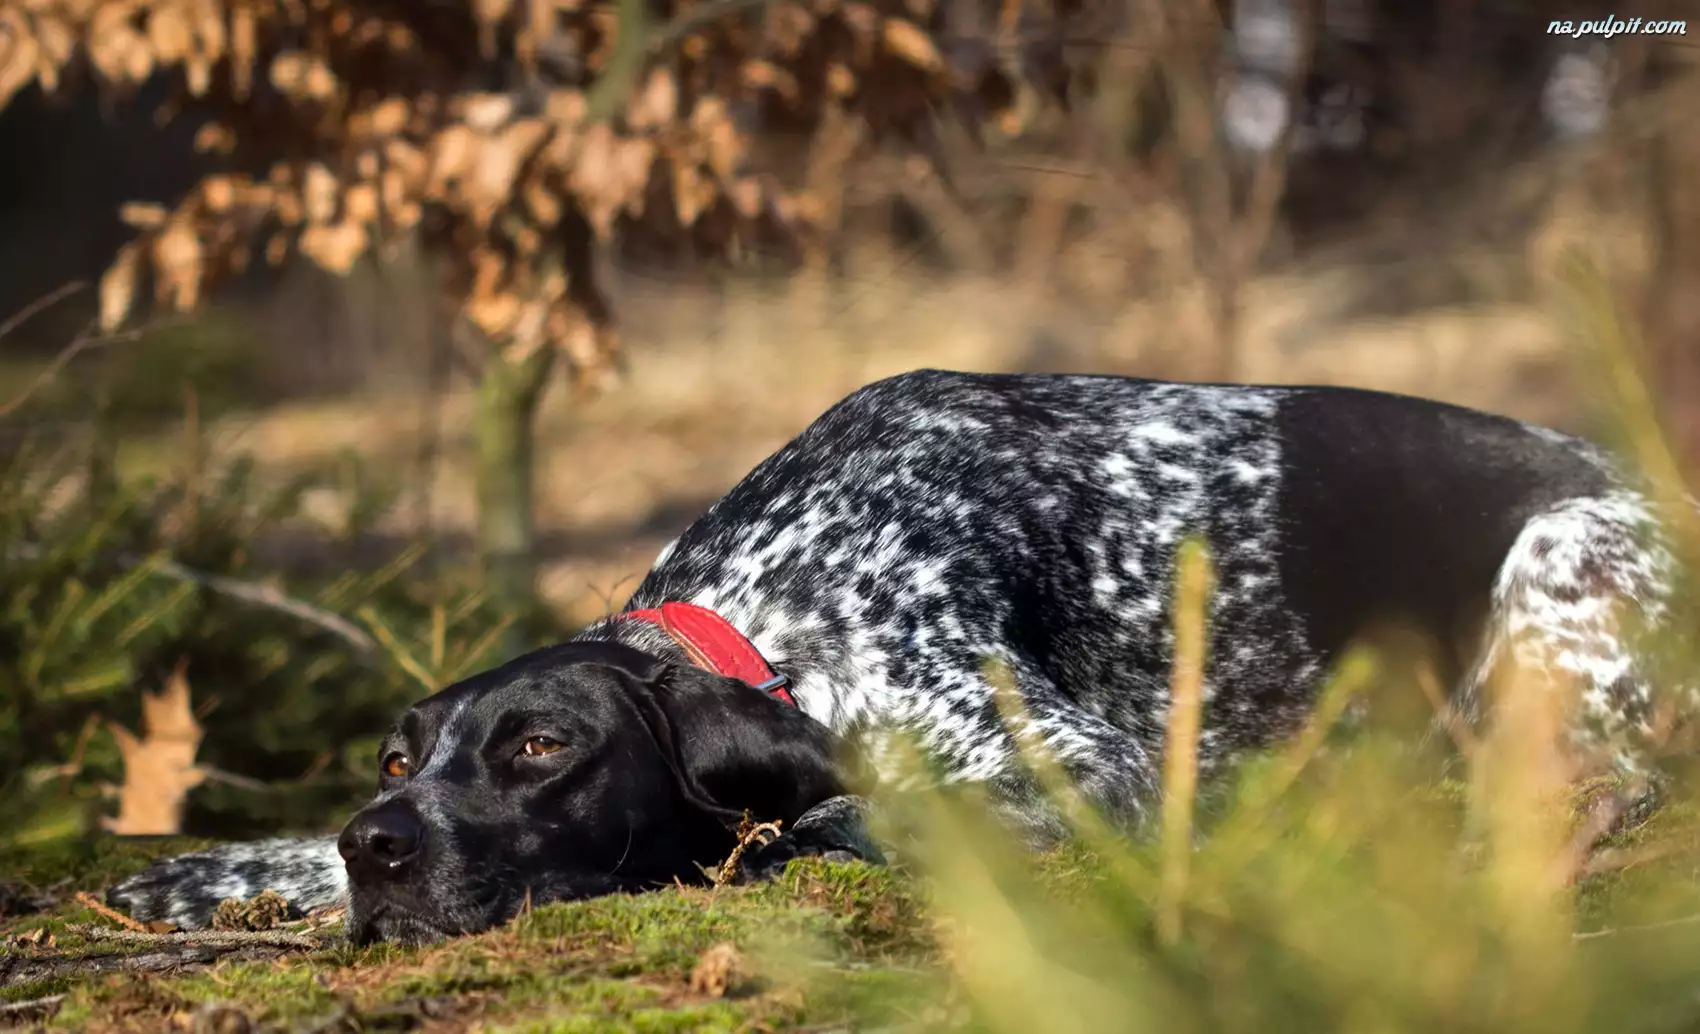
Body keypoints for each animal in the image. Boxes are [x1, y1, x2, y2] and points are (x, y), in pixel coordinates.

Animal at [106, 370, 1690, 944]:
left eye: (543, 747)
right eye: (393, 755)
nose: (376, 846)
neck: (777, 611)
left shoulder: (1088, 770)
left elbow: (832, 820)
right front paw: (205, 870)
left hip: (1559, 567)